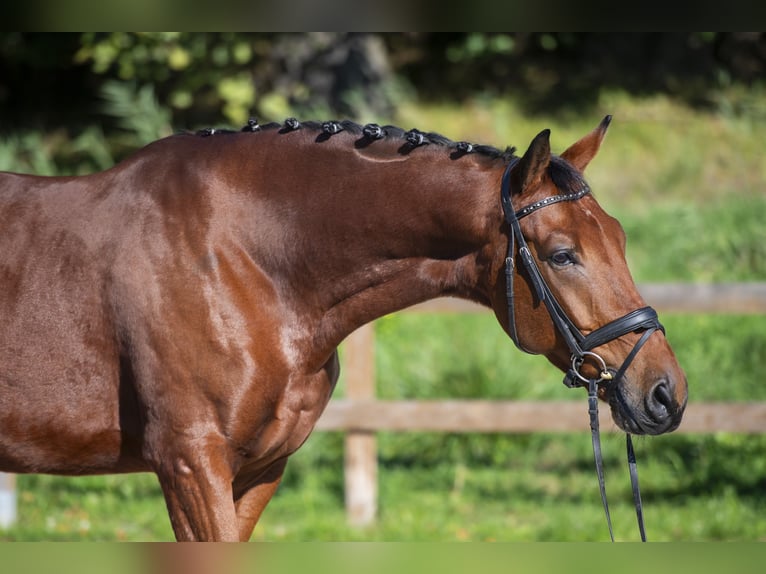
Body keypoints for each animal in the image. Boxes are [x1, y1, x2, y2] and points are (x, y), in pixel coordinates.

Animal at [0, 116, 688, 540]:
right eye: (563, 254)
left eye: (621, 238)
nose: (666, 394)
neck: (241, 257)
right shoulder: (189, 464)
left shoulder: (258, 470)